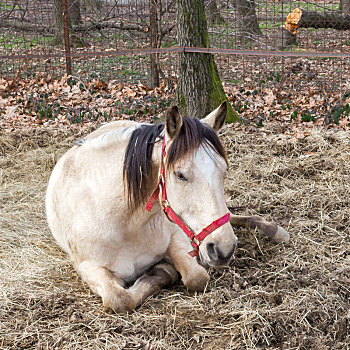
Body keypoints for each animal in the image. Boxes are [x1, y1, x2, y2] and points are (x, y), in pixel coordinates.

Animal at [45, 101, 288, 312]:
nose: (224, 249)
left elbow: (197, 277)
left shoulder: (177, 237)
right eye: (180, 175)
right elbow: (120, 299)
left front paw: (163, 270)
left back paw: (274, 230)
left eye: (224, 170)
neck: (124, 223)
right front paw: (161, 272)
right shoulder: (87, 267)